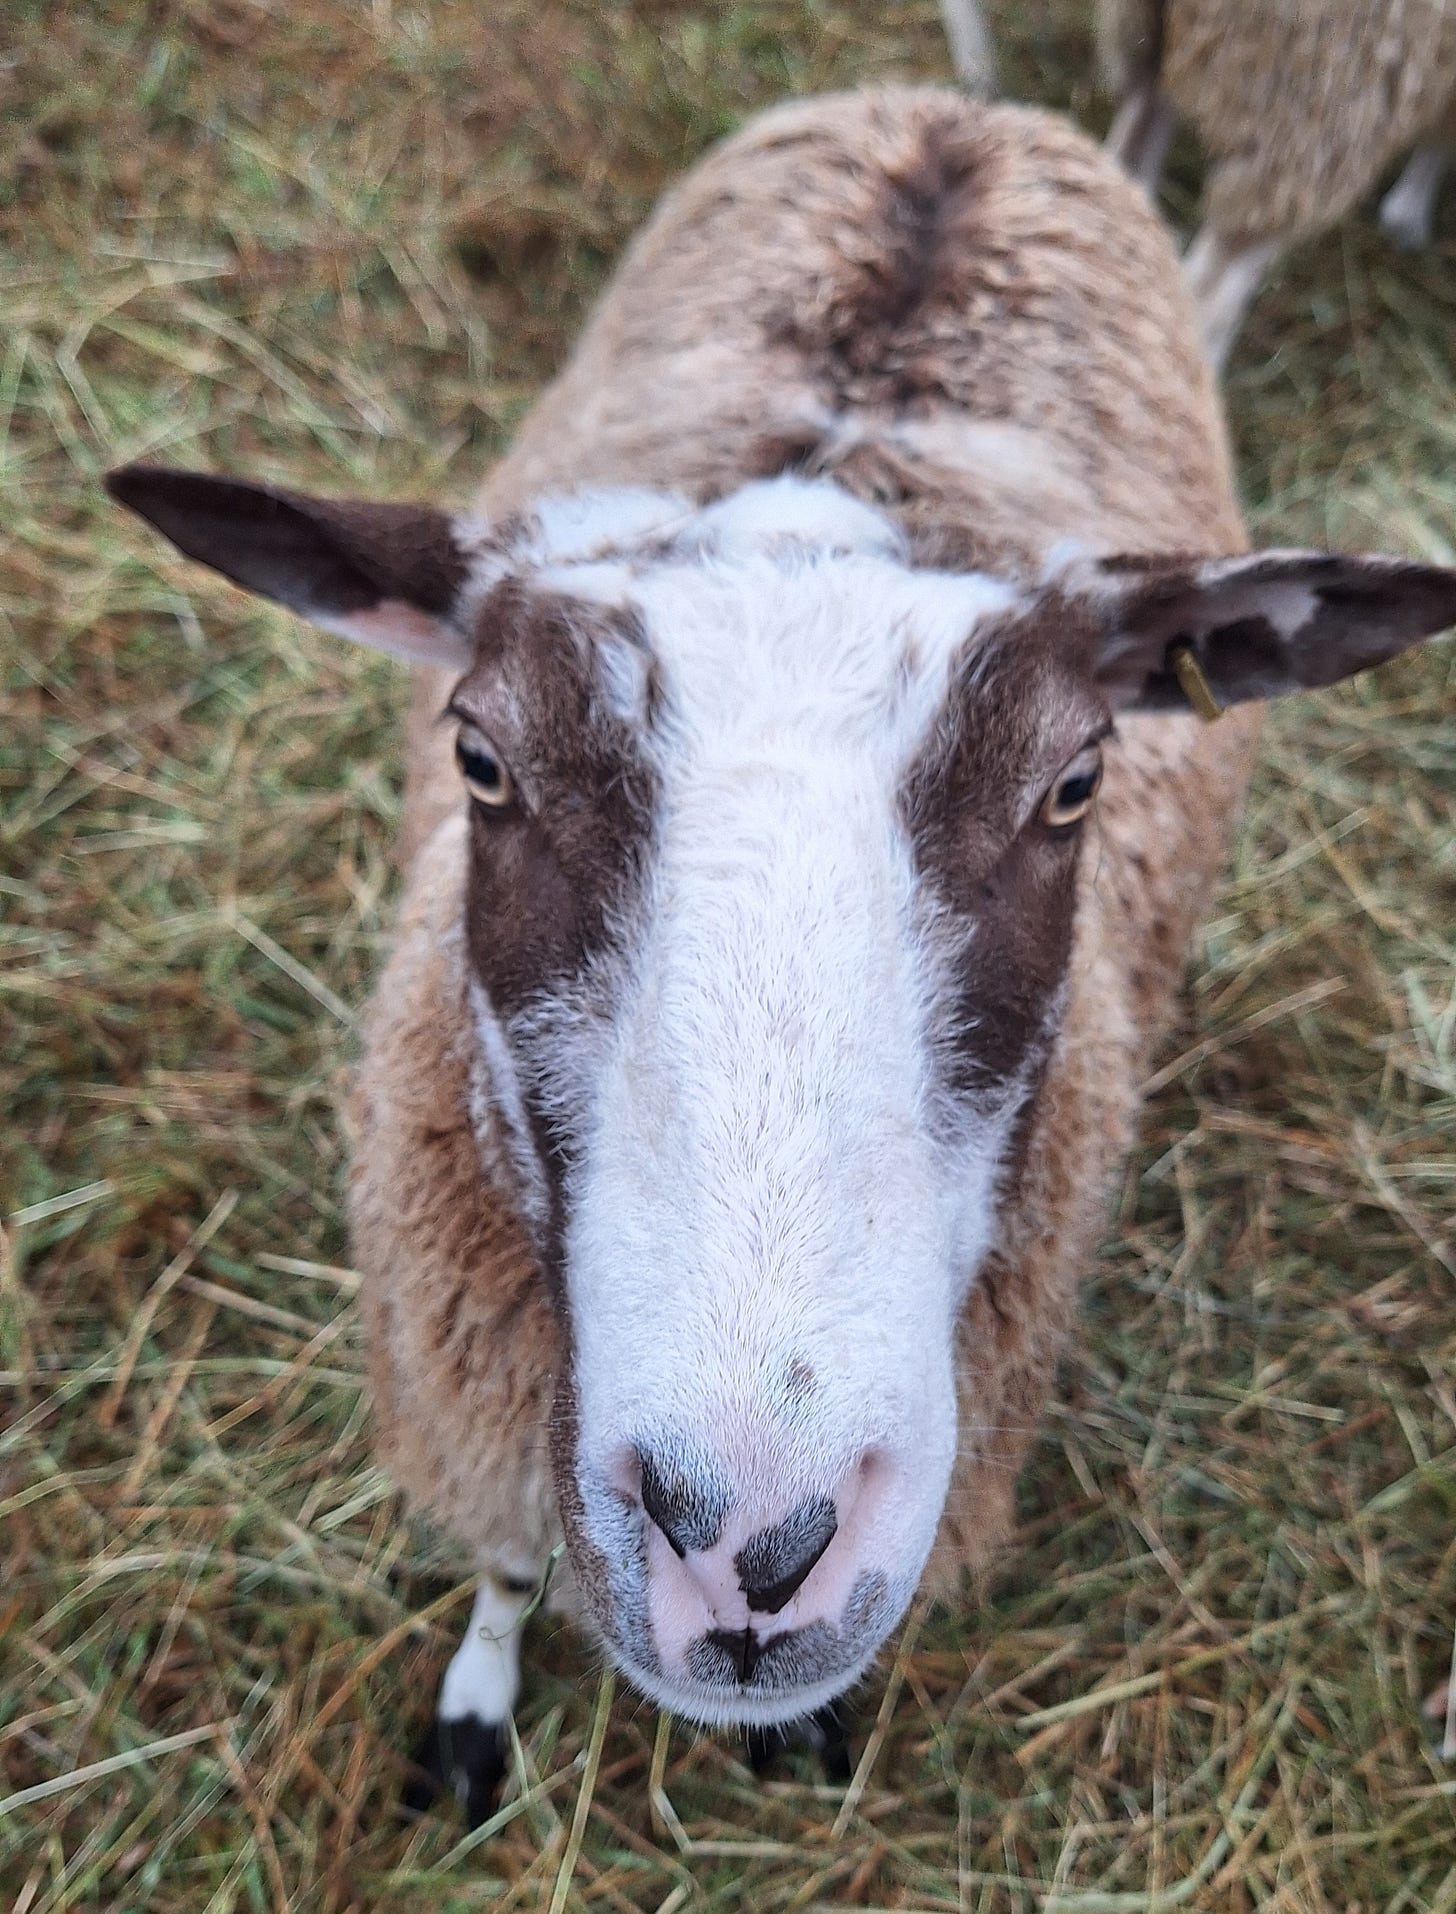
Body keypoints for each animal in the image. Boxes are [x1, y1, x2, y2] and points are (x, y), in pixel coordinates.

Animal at [108, 86, 1454, 1822]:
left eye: (1073, 785)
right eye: (483, 760)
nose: (754, 1546)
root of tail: (957, 112)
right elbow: (504, 1563)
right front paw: (475, 1710)